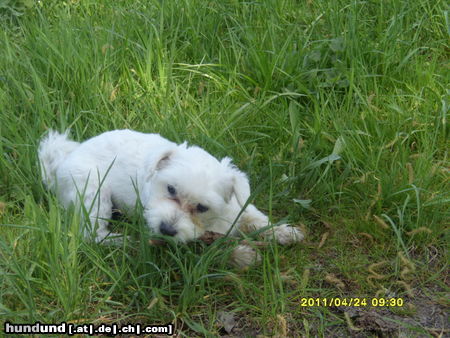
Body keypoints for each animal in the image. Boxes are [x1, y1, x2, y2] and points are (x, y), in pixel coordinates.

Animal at [38, 131, 304, 266]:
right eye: (171, 189)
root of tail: (62, 161)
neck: (213, 221)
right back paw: (122, 240)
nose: (165, 229)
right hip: (93, 191)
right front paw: (242, 255)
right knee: (92, 234)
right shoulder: (190, 245)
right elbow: (212, 250)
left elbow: (258, 219)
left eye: (202, 207)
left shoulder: (241, 209)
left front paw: (284, 232)